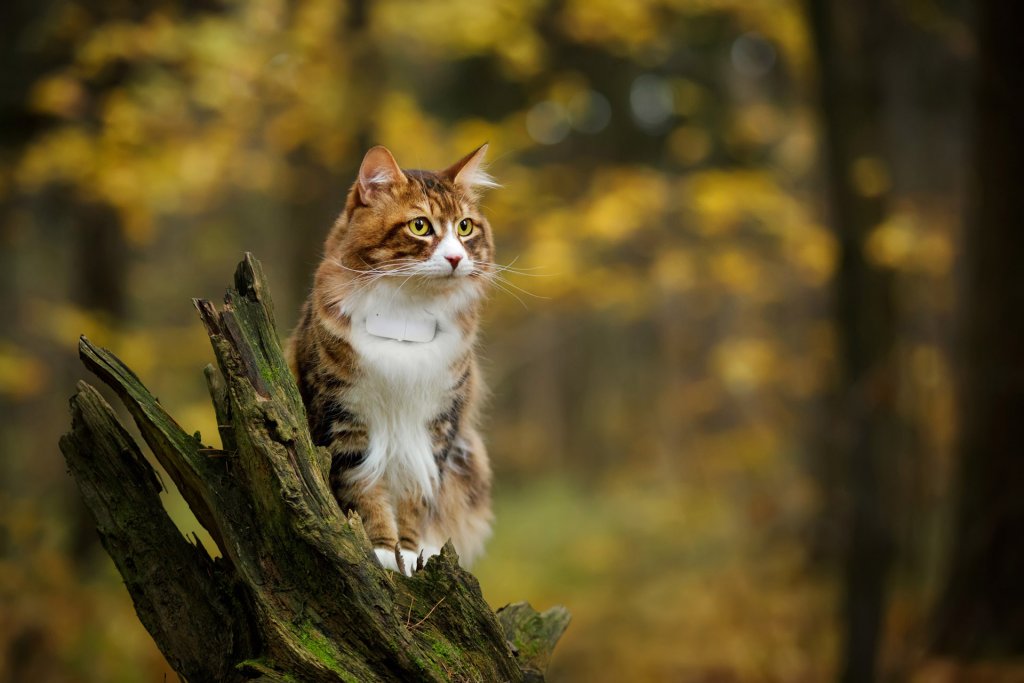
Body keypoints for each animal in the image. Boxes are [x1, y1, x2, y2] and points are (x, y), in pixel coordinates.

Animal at [286, 144, 497, 577]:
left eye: (465, 227)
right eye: (420, 226)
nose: (456, 257)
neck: (407, 312)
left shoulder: (435, 428)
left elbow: (417, 496)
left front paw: (412, 552)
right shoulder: (344, 419)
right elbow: (363, 490)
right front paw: (383, 550)